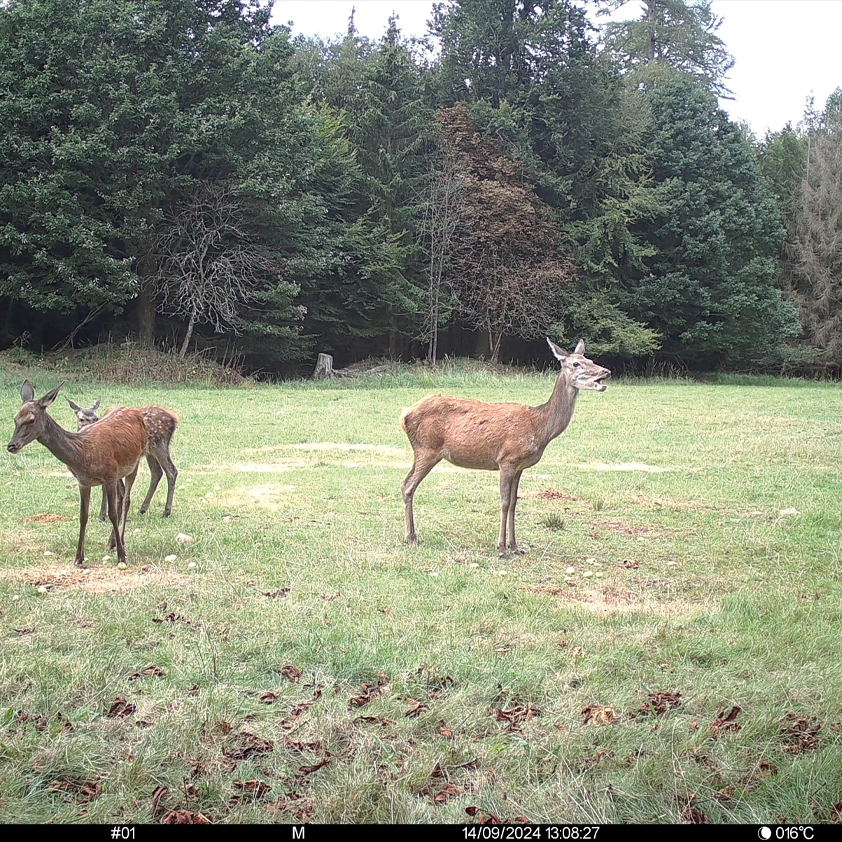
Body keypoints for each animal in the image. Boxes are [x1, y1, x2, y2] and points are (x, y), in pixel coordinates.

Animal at [8, 380, 148, 564]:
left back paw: (121, 543)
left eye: (31, 419)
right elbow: (83, 516)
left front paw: (122, 557)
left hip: (136, 460)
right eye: (15, 418)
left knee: (126, 500)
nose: (11, 445)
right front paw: (78, 558)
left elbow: (112, 513)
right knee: (122, 496)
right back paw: (111, 543)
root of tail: (134, 410)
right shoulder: (83, 481)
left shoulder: (110, 475)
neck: (83, 454)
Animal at [402, 338, 612, 556]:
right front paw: (502, 548)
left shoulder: (520, 466)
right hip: (426, 449)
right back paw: (411, 537)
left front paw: (516, 546)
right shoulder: (506, 459)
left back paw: (413, 536)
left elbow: (513, 503)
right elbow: (503, 502)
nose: (606, 371)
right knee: (407, 485)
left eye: (590, 359)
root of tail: (404, 415)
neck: (540, 428)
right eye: (576, 363)